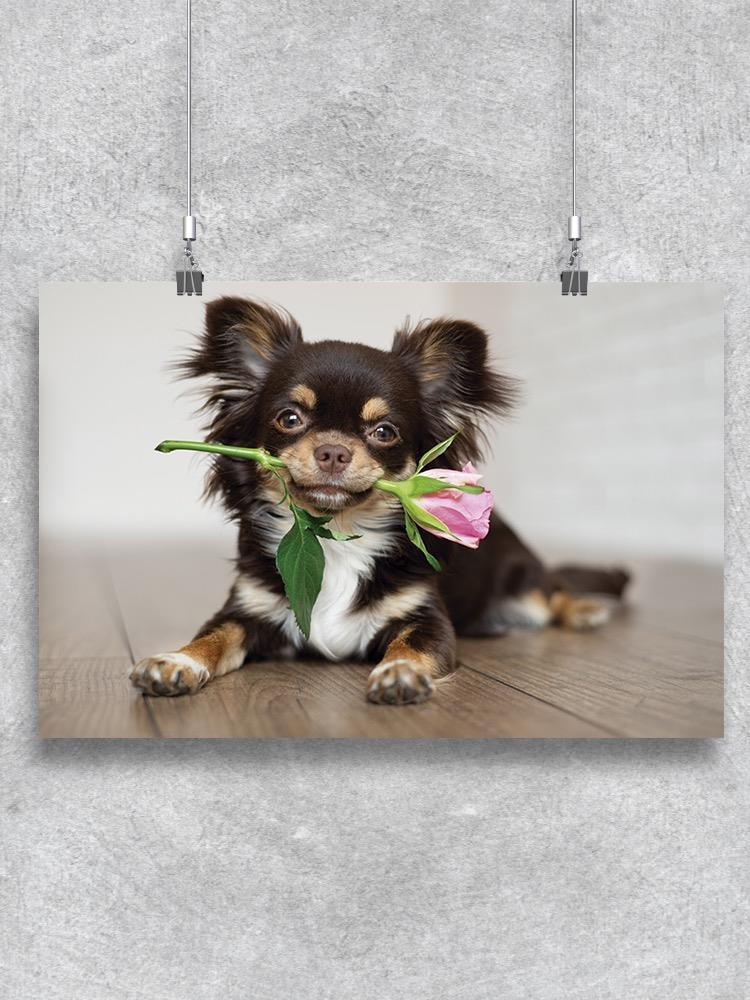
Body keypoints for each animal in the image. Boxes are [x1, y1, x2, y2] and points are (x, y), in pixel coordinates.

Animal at [129, 294, 628, 704]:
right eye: (289, 418)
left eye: (384, 432)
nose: (333, 451)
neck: (332, 537)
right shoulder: (247, 609)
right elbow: (212, 637)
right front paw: (176, 660)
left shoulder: (426, 620)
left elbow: (412, 645)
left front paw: (400, 672)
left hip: (525, 585)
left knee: (554, 592)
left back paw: (585, 609)